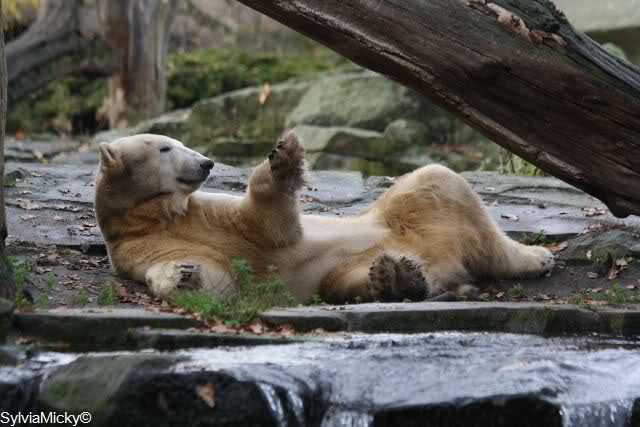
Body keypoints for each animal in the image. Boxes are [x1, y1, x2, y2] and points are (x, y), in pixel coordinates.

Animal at [95, 132, 554, 304]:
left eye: (177, 142)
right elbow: (218, 275)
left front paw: (283, 157)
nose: (206, 162)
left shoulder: (203, 210)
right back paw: (395, 278)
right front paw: (183, 276)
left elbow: (267, 224)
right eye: (165, 148)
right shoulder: (139, 247)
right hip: (363, 261)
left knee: (439, 182)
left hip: (399, 215)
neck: (156, 216)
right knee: (346, 280)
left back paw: (537, 257)